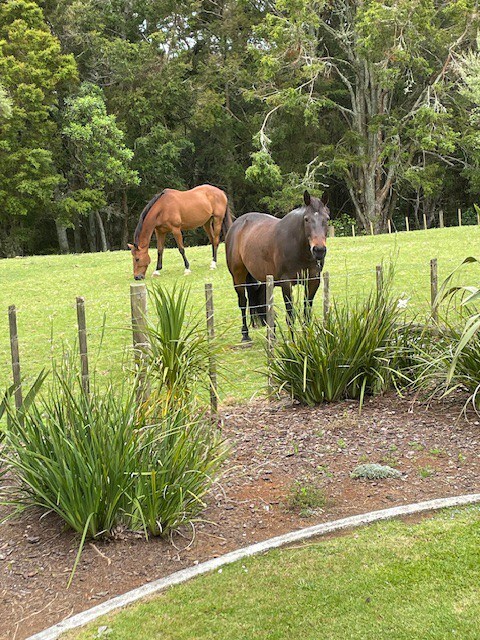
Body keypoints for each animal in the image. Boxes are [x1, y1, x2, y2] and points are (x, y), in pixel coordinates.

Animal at [225, 189, 330, 340]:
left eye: (327, 218)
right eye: (306, 219)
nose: (319, 250)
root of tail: (236, 224)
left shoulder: (313, 281)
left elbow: (306, 313)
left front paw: (307, 339)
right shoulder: (286, 283)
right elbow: (290, 316)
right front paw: (293, 343)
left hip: (265, 279)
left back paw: (271, 334)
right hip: (238, 277)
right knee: (243, 302)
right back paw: (245, 335)